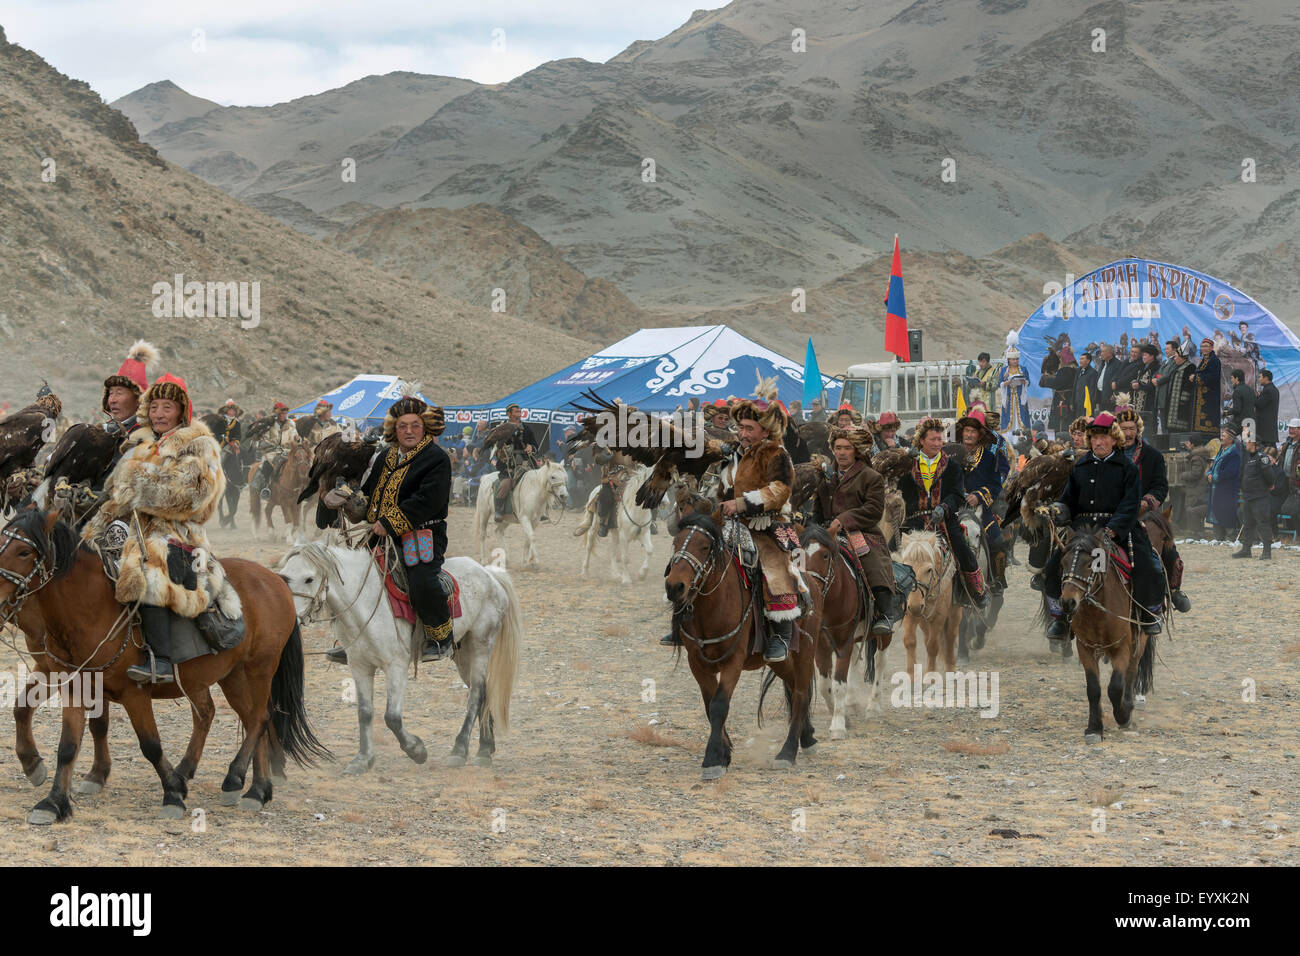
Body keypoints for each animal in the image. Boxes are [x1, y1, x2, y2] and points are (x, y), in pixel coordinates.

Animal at [0, 504, 332, 827]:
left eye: (24, 552)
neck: (90, 609)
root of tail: (276, 580)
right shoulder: (73, 685)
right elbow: (66, 743)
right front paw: (53, 801)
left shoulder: (133, 693)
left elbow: (150, 744)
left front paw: (172, 793)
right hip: (232, 676)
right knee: (246, 719)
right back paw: (256, 789)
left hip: (259, 669)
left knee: (259, 720)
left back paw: (235, 779)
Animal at [279, 541, 522, 775]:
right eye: (284, 576)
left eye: (309, 579)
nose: (290, 616)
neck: (367, 605)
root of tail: (490, 575)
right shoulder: (359, 666)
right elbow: (365, 712)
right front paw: (362, 760)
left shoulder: (396, 666)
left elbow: (392, 717)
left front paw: (417, 750)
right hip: (463, 654)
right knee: (483, 692)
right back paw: (485, 750)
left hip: (481, 645)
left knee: (476, 695)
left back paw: (460, 750)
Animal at [670, 515, 811, 780]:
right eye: (676, 542)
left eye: (705, 546)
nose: (674, 587)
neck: (713, 606)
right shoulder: (697, 663)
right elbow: (709, 706)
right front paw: (724, 753)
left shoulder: (733, 662)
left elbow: (719, 706)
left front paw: (712, 760)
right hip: (779, 661)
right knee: (794, 686)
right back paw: (808, 737)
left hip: (807, 651)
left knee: (801, 693)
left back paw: (788, 752)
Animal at [899, 530, 961, 681]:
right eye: (905, 567)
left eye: (928, 570)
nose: (915, 606)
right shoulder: (909, 614)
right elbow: (909, 641)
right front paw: (911, 675)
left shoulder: (939, 616)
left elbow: (933, 646)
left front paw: (931, 676)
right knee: (928, 636)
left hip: (955, 612)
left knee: (950, 636)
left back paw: (951, 668)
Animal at [1055, 522, 1159, 738]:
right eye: (1063, 562)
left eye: (1091, 563)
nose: (1068, 602)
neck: (1097, 611)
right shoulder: (1085, 648)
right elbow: (1093, 688)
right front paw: (1094, 727)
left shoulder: (1122, 647)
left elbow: (1115, 687)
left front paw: (1123, 716)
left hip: (1140, 640)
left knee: (1131, 672)